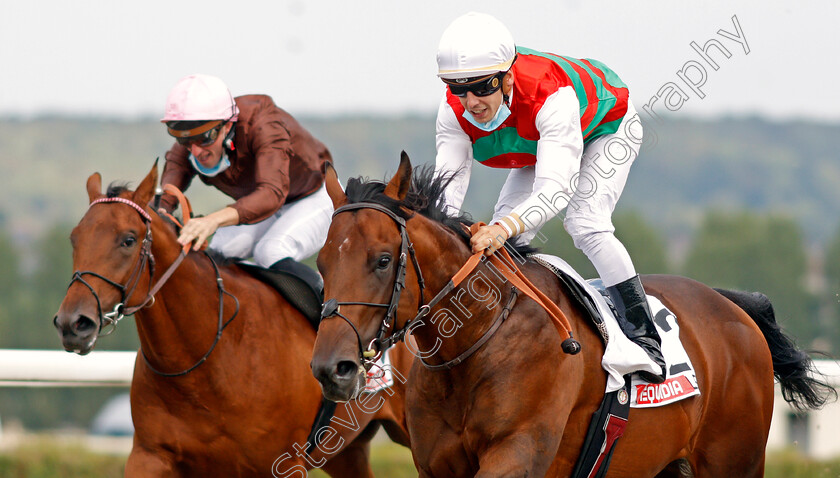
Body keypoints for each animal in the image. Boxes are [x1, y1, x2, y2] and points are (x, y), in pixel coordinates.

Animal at [50, 162, 412, 476]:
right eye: (74, 239)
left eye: (128, 239)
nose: (73, 323)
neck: (207, 360)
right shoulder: (150, 455)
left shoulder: (282, 464)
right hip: (345, 451)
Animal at [308, 154, 832, 478]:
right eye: (323, 262)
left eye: (381, 260)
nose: (331, 367)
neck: (474, 342)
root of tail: (733, 306)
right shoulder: (438, 463)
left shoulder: (518, 454)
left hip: (733, 459)